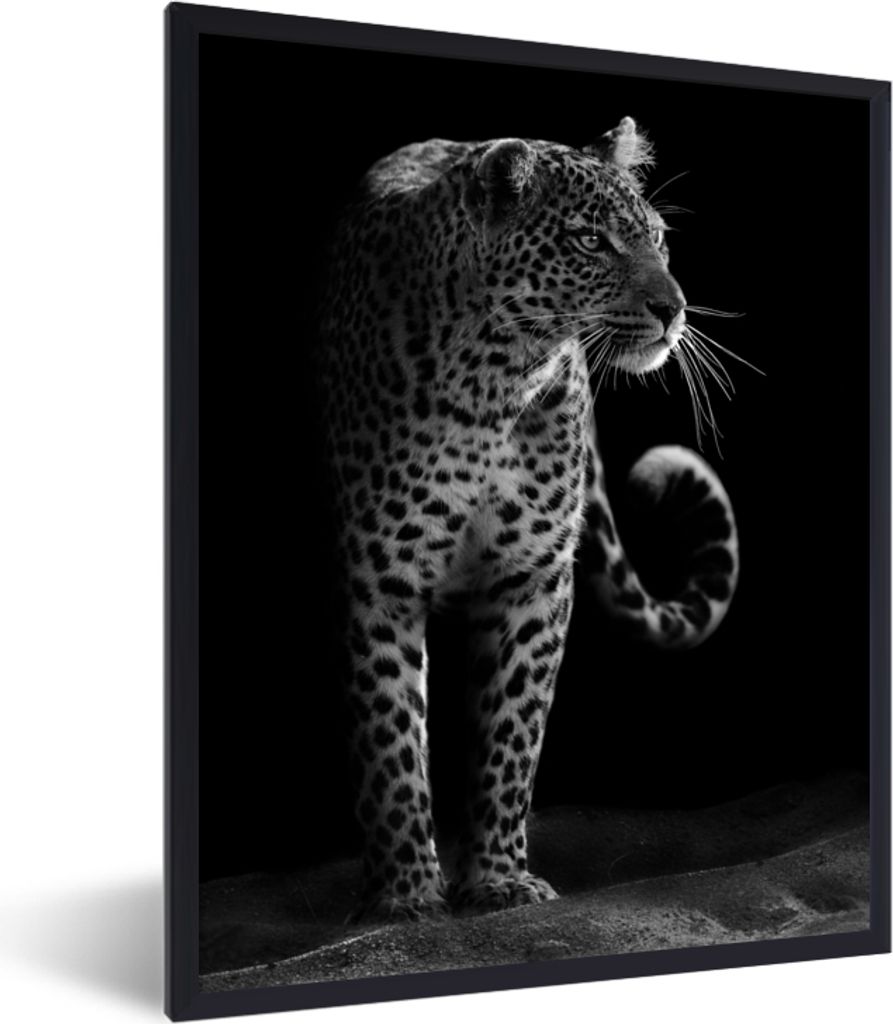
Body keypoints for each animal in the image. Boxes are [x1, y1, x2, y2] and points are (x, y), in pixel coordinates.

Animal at [317, 117, 740, 920]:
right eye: (590, 241)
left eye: (656, 238)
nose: (674, 308)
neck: (494, 379)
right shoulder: (380, 577)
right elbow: (390, 738)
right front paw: (404, 895)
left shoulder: (532, 577)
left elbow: (512, 732)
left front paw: (498, 879)